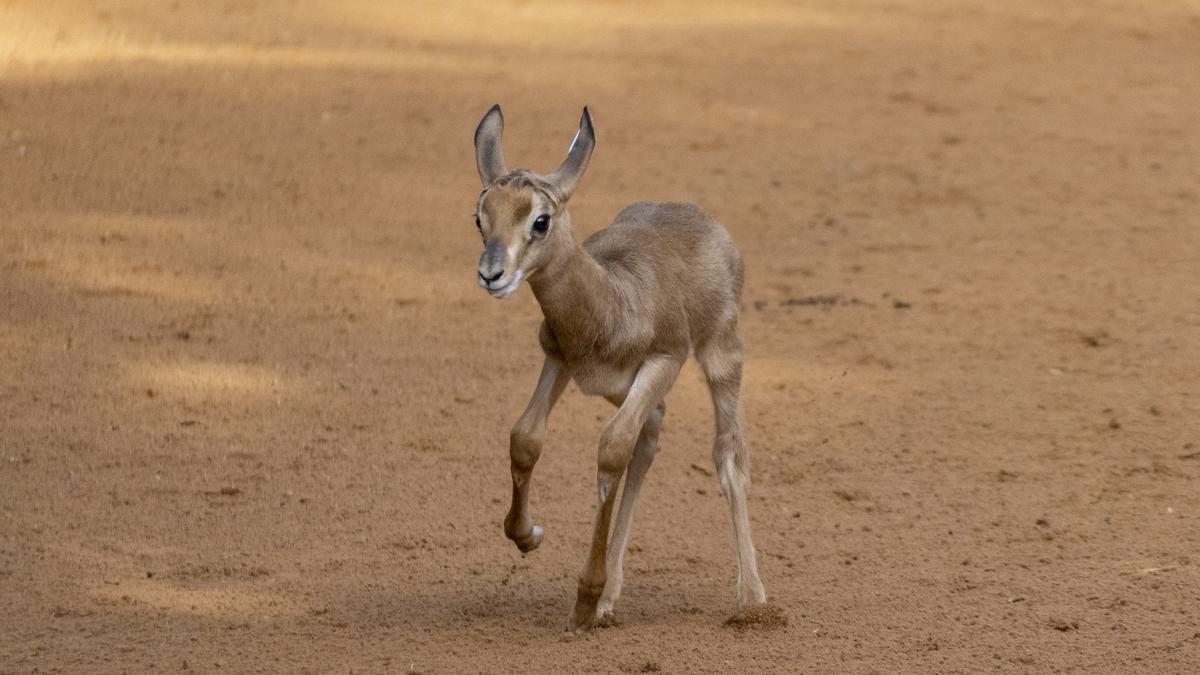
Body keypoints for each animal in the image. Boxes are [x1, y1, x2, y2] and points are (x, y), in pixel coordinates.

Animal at [470, 102, 768, 629]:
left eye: (541, 220)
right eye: (479, 216)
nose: (492, 274)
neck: (612, 300)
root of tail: (700, 217)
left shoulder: (664, 360)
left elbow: (611, 449)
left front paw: (585, 600)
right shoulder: (558, 359)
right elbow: (525, 438)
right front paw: (529, 536)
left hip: (720, 353)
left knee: (727, 453)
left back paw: (751, 600)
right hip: (620, 389)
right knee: (650, 435)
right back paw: (613, 596)